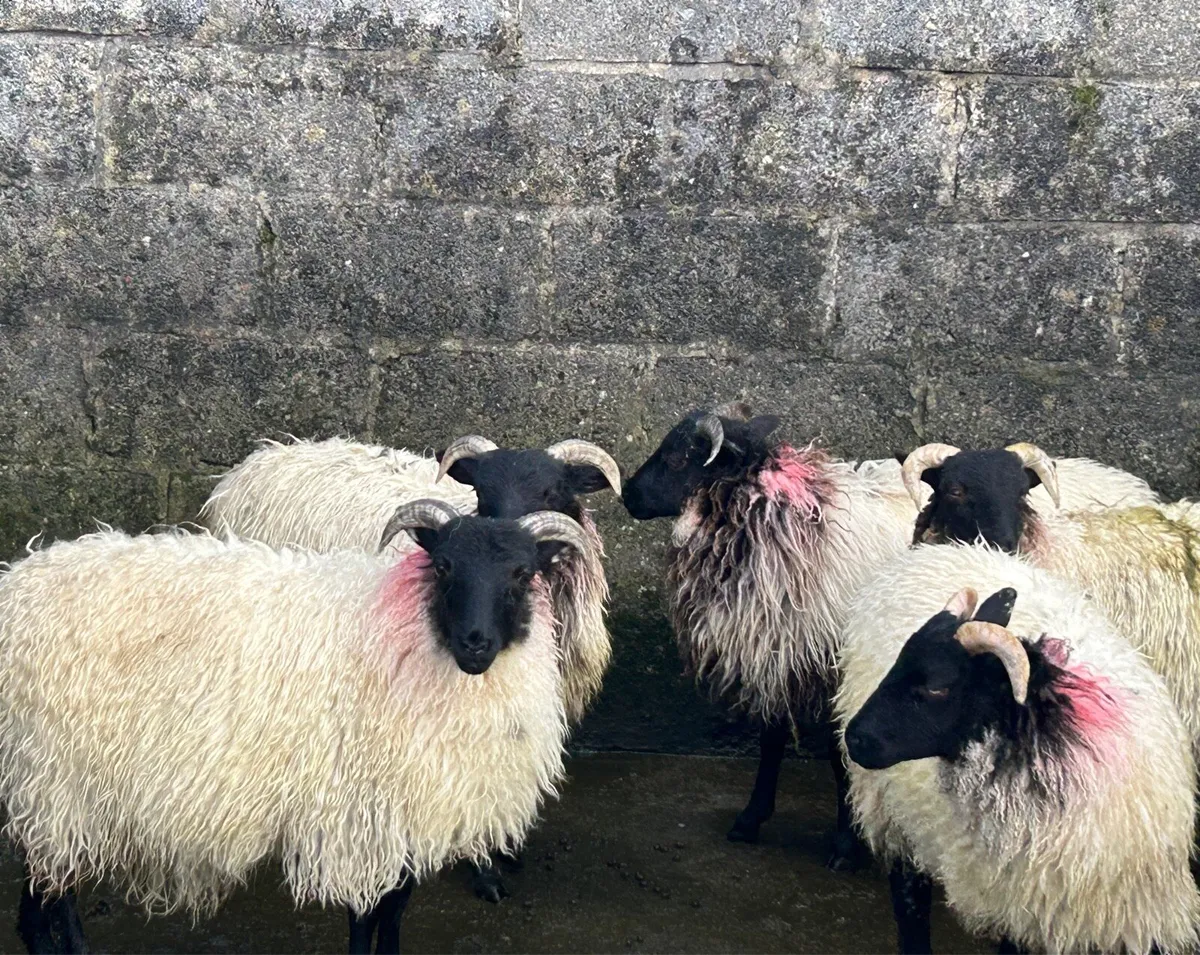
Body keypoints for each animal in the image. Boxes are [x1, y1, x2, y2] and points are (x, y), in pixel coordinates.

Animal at [0, 499, 595, 955]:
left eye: (523, 573)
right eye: (444, 565)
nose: (475, 643)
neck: (412, 636)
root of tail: (18, 584)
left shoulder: (404, 810)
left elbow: (396, 909)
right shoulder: (360, 812)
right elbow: (366, 916)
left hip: (44, 779)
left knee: (41, 880)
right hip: (53, 772)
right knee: (53, 890)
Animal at [202, 433, 622, 902]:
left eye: (551, 491)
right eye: (482, 492)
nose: (509, 535)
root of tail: (260, 457)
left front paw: (508, 850)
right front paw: (484, 867)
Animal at [836, 543, 1199, 955]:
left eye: (936, 686)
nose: (854, 738)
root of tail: (934, 551)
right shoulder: (1022, 906)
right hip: (891, 811)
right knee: (909, 897)